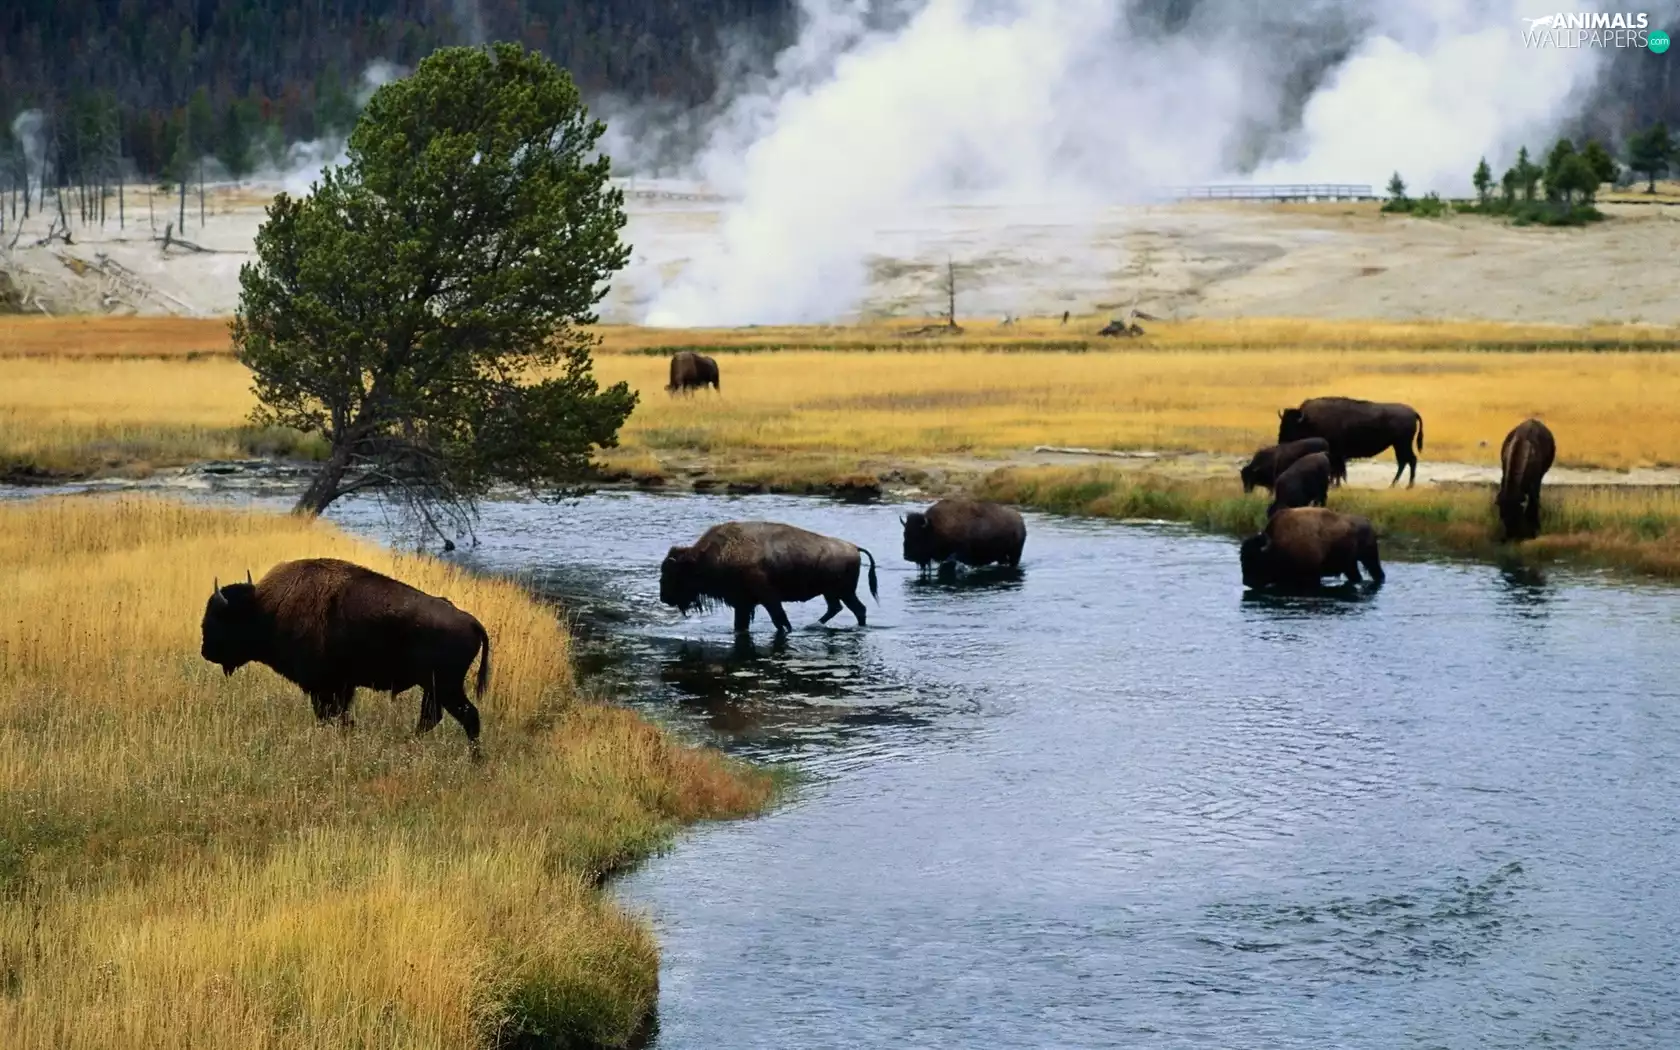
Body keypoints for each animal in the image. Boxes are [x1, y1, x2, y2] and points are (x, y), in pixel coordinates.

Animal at [200, 558, 490, 744]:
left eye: (217, 617)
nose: (205, 650)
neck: (266, 609)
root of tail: (471, 622)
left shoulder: (324, 687)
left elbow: (330, 715)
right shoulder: (342, 687)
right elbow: (341, 716)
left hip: (446, 686)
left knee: (468, 716)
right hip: (433, 687)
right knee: (433, 717)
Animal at [661, 521, 878, 633]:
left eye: (672, 572)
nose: (664, 597)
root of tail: (854, 547)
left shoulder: (767, 598)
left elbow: (779, 618)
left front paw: (788, 630)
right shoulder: (743, 604)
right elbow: (741, 625)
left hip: (842, 592)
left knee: (857, 609)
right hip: (833, 593)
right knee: (840, 608)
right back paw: (813, 625)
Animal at [1240, 507, 1385, 588]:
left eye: (1255, 559)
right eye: (1242, 558)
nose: (1247, 582)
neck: (1277, 543)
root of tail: (1369, 524)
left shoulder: (1312, 576)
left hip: (1369, 559)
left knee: (1378, 573)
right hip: (1350, 565)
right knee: (1357, 576)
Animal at [1278, 396, 1424, 487]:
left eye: (1290, 425)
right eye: (1282, 423)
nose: (1281, 441)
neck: (1309, 420)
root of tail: (1413, 412)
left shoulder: (1336, 453)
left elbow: (1337, 470)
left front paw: (1335, 485)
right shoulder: (1336, 454)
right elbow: (1337, 470)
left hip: (1402, 444)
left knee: (1410, 460)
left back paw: (1407, 486)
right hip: (1398, 445)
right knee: (1404, 462)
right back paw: (1394, 485)